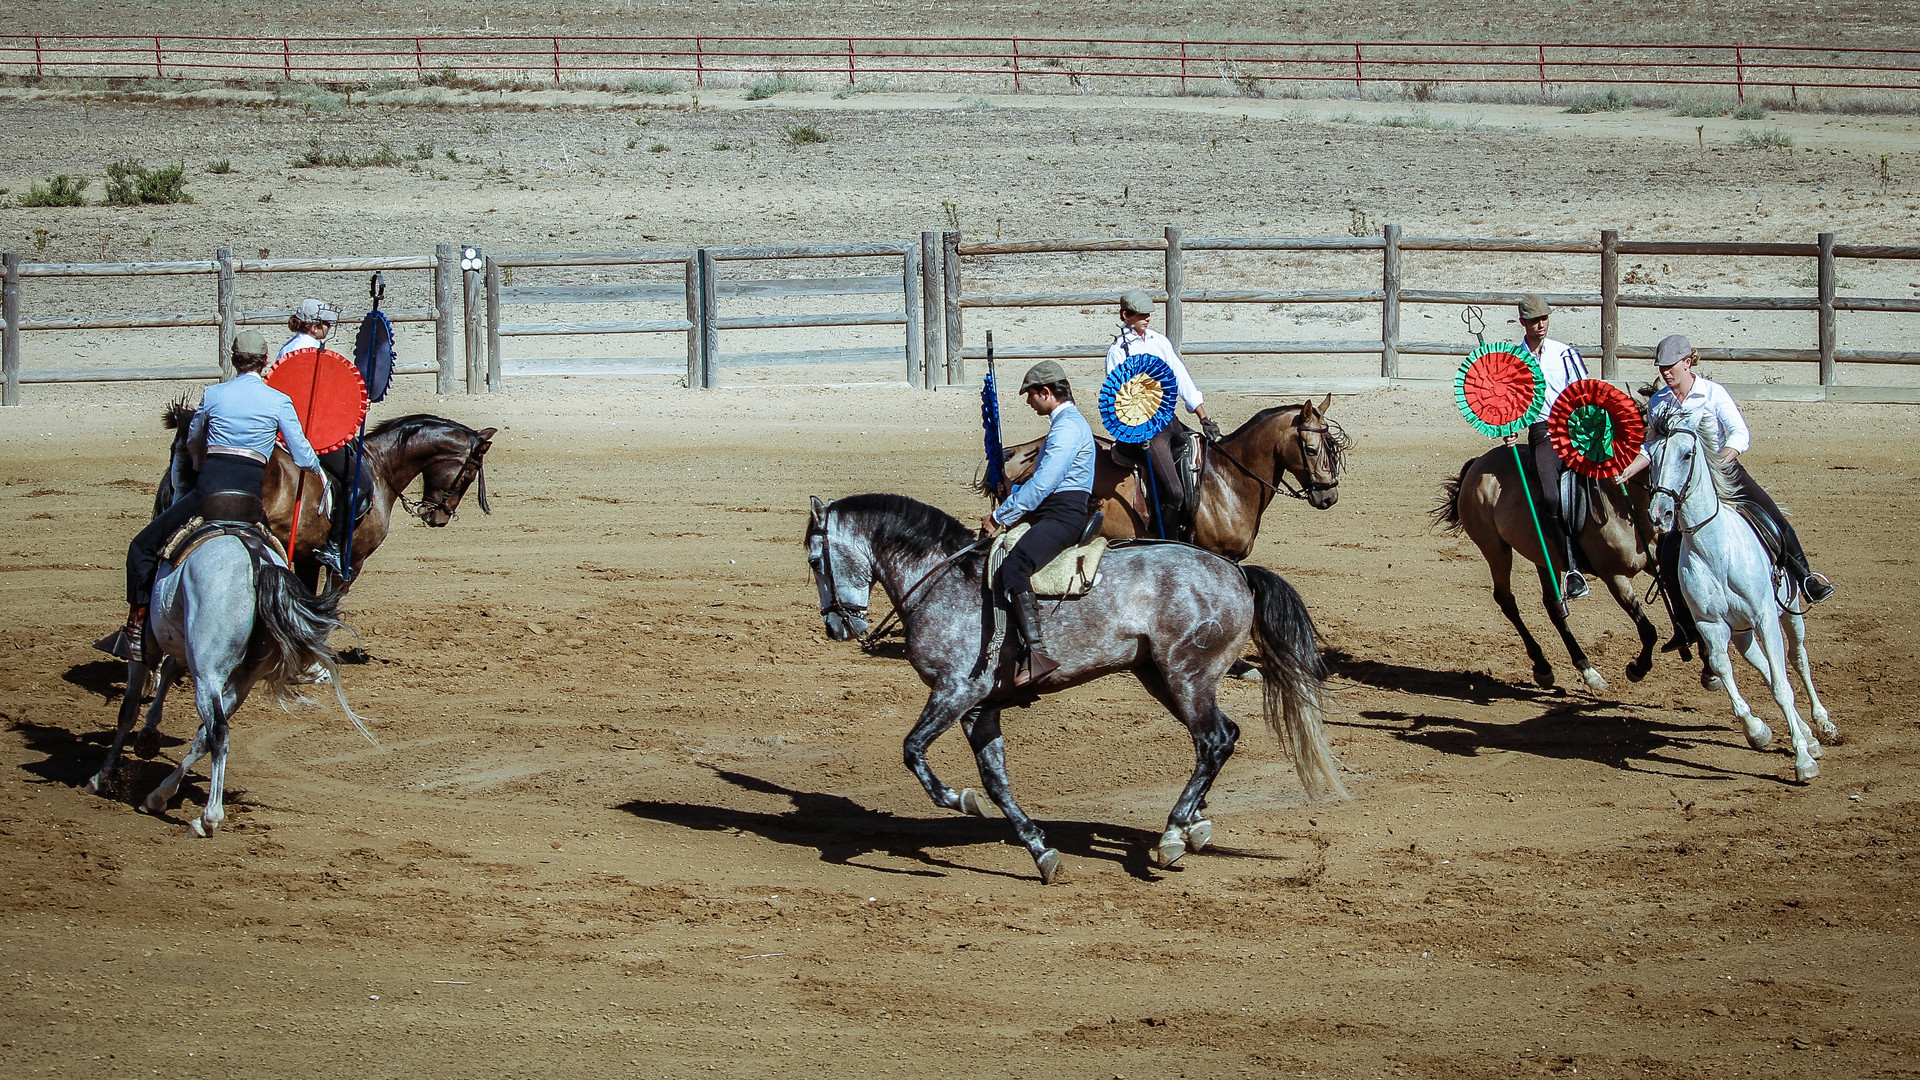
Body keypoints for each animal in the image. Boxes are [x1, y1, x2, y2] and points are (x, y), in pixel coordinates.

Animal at [84, 522, 372, 834]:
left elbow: (128, 710)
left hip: (208, 672)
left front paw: (102, 776)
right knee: (205, 734)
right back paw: (161, 796)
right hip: (240, 680)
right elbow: (169, 673)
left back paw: (208, 817)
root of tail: (258, 563)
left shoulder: (147, 649)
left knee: (218, 732)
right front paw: (148, 735)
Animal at [802, 491, 1344, 880]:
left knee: (1214, 740)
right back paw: (1194, 824)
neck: (942, 581)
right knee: (1218, 737)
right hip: (1164, 678)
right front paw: (1039, 850)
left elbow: (913, 750)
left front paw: (958, 800)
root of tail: (1236, 572)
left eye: (813, 559)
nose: (836, 627)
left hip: (1186, 677)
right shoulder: (980, 707)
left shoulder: (955, 692)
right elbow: (996, 781)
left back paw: (1172, 835)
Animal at [1436, 445, 1674, 687]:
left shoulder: (1656, 563)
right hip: (1495, 549)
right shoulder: (1614, 576)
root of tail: (1478, 463)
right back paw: (1545, 665)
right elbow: (1648, 631)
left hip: (1543, 556)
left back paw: (1583, 667)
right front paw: (1637, 668)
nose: (1665, 513)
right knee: (1506, 600)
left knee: (1553, 605)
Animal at [1643, 407, 1835, 776]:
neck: (1715, 551)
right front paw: (1758, 731)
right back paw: (1807, 733)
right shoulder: (1711, 626)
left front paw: (1803, 761)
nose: (1660, 514)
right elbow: (1725, 670)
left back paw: (1823, 726)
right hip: (1743, 632)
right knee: (1764, 667)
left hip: (1789, 614)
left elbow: (1783, 686)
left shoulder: (1765, 617)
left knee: (1798, 661)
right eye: (1653, 458)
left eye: (1686, 454)